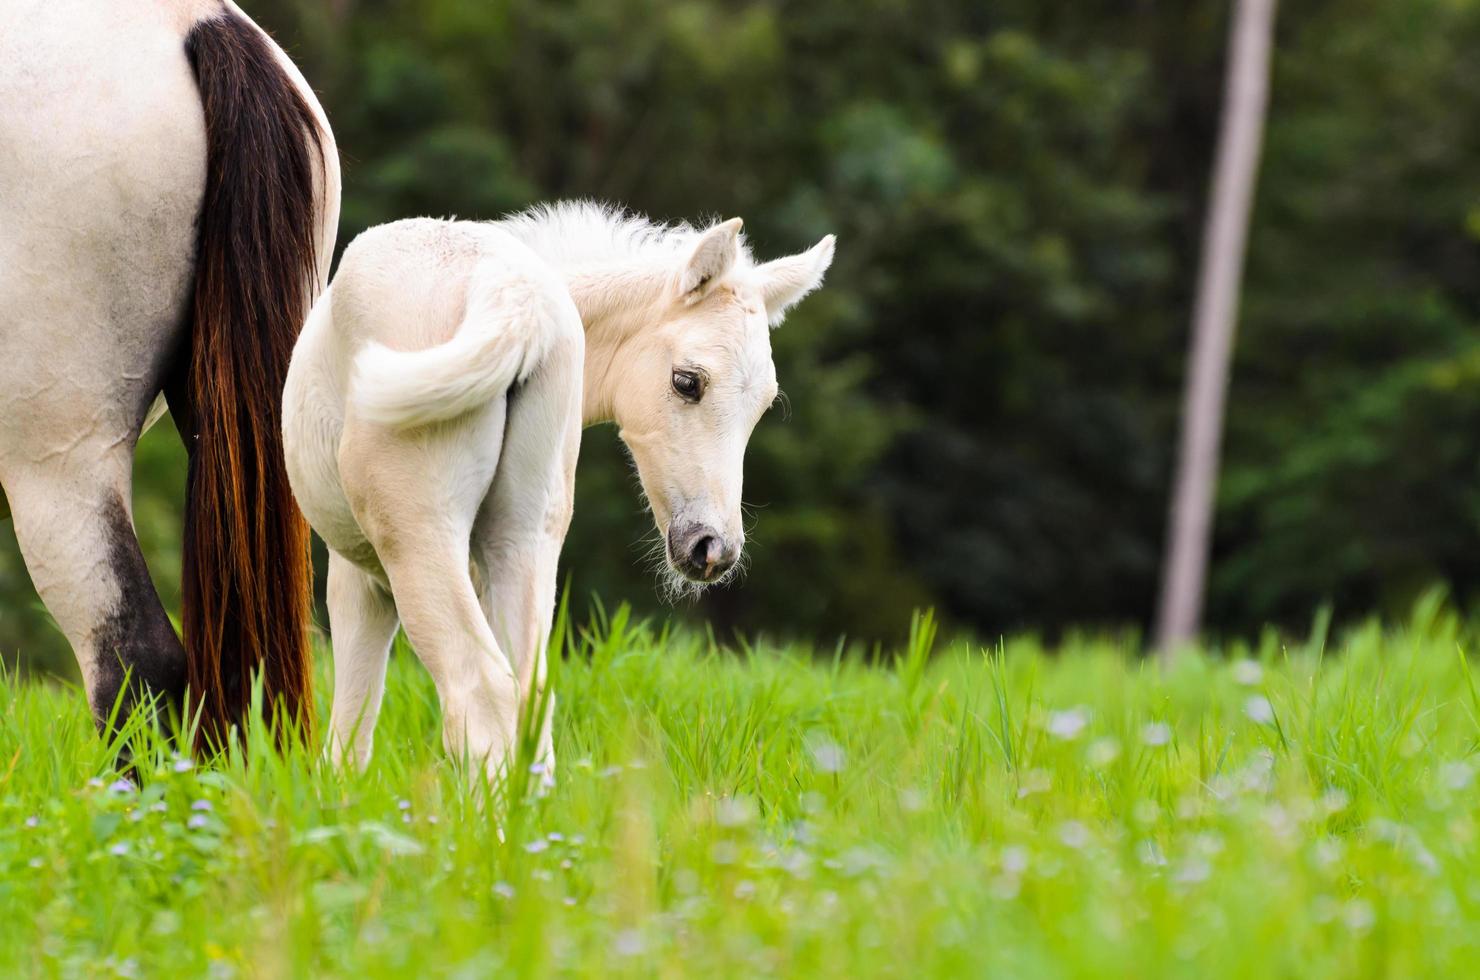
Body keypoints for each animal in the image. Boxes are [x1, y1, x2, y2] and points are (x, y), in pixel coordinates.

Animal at [278, 205, 834, 781]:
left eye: (762, 405)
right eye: (687, 382)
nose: (713, 549)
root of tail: (513, 293)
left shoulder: (361, 578)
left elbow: (351, 727)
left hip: (418, 537)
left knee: (482, 691)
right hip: (522, 537)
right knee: (528, 697)